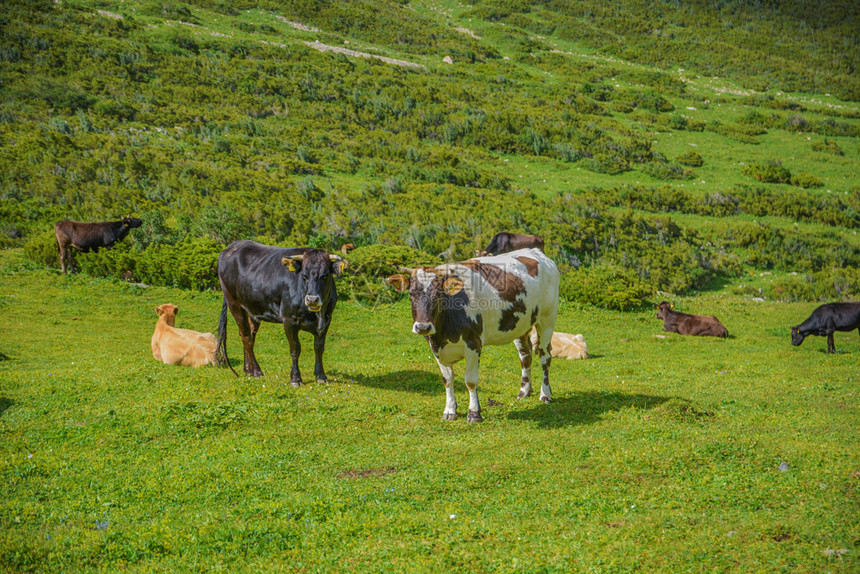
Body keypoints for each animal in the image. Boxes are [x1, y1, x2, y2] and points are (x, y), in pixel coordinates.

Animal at [215, 241, 346, 384]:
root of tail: (233, 246)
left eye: (325, 275)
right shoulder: (288, 319)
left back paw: (248, 370)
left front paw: (321, 376)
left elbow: (319, 347)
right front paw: (295, 378)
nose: (312, 299)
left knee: (249, 335)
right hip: (234, 303)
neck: (316, 315)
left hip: (252, 308)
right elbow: (295, 349)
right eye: (304, 276)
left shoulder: (326, 319)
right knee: (246, 337)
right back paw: (257, 371)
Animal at [386, 250, 560, 426]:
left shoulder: (473, 344)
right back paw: (524, 391)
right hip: (521, 325)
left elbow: (470, 381)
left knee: (545, 356)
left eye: (438, 295)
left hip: (547, 319)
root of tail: (535, 252)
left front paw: (474, 413)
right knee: (525, 356)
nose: (423, 327)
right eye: (411, 294)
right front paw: (450, 410)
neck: (443, 334)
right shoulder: (436, 349)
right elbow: (447, 379)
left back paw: (545, 394)